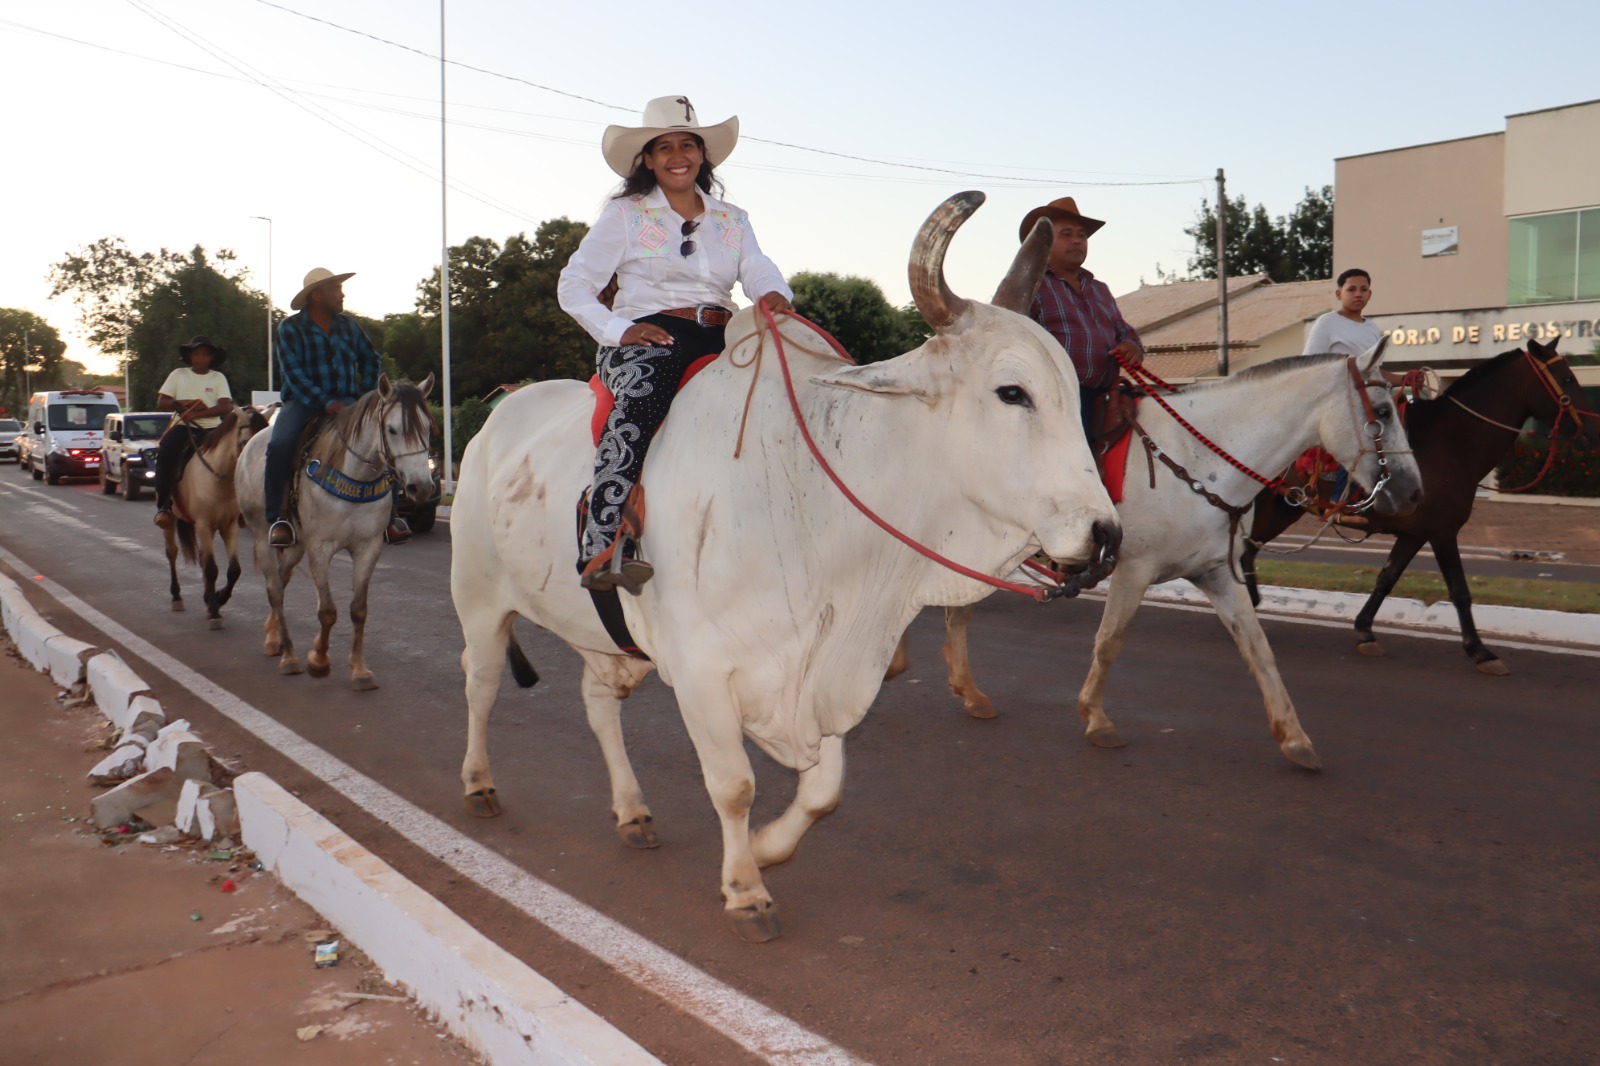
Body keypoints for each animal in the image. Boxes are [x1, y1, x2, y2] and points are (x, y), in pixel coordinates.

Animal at [161, 407, 270, 627]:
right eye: (247, 443)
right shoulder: (204, 524)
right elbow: (211, 569)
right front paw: (213, 612)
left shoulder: (229, 526)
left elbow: (233, 570)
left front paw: (218, 599)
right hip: (172, 520)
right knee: (172, 553)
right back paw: (176, 596)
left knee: (202, 558)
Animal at [235, 375, 435, 690]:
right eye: (391, 429)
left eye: (427, 427)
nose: (421, 486)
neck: (354, 477)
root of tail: (248, 447)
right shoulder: (320, 548)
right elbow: (327, 611)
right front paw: (318, 660)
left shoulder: (368, 548)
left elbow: (358, 609)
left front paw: (360, 670)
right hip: (261, 535)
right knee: (275, 589)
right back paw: (289, 656)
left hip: (296, 545)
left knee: (281, 579)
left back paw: (274, 637)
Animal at [448, 192, 1121, 941]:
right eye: (1012, 392)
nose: (1105, 536)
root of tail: (493, 420)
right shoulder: (703, 673)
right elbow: (734, 785)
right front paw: (746, 889)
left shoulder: (821, 664)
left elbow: (825, 792)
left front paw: (769, 848)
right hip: (478, 598)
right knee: (480, 685)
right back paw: (478, 783)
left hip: (608, 637)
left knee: (597, 702)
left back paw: (632, 811)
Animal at [900, 340, 1423, 771]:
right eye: (1382, 410)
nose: (1413, 492)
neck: (1195, 461)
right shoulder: (1133, 570)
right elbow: (1109, 642)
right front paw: (1097, 719)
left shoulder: (1217, 573)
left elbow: (1258, 649)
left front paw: (1294, 738)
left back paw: (958, 686)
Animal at [1242, 338, 1600, 674]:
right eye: (1567, 379)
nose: (1593, 431)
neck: (1451, 442)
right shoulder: (1443, 532)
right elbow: (1459, 590)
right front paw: (1480, 651)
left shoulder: (1415, 533)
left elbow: (1386, 578)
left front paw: (1365, 631)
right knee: (1244, 551)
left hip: (1282, 509)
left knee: (1248, 550)